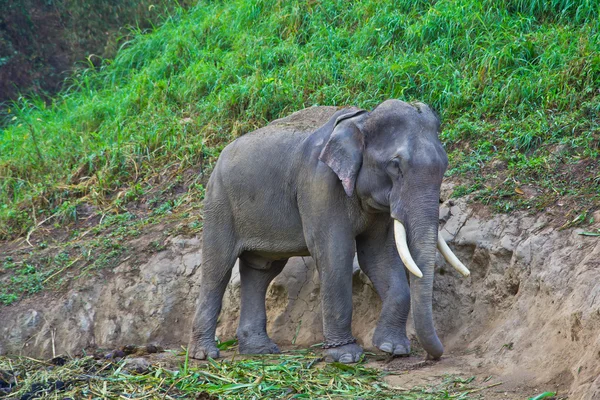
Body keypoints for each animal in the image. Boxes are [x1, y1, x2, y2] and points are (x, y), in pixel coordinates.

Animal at [189, 99, 468, 362]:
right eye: (395, 166)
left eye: (444, 165)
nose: (435, 356)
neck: (363, 120)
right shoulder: (320, 184)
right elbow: (335, 253)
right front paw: (346, 356)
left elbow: (379, 256)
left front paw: (393, 349)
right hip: (219, 202)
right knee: (218, 269)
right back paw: (204, 354)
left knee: (261, 270)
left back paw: (260, 350)